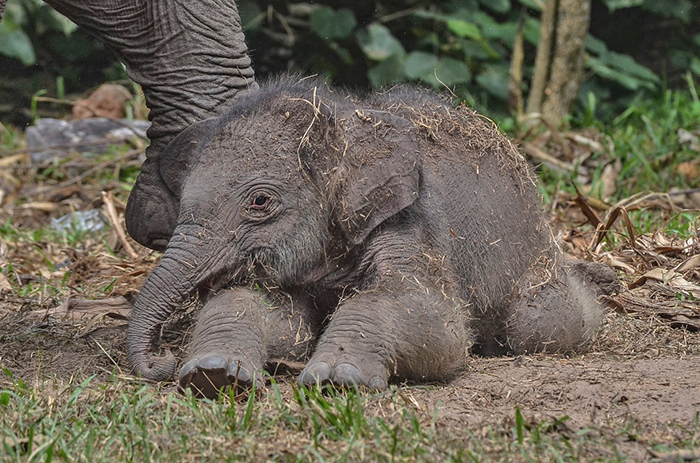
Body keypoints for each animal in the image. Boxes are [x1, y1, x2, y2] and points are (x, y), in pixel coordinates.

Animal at [126, 77, 616, 398]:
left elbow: (431, 315)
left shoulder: (411, 221)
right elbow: (282, 320)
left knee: (541, 323)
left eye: (260, 202)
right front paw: (213, 375)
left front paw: (338, 379)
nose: (160, 360)